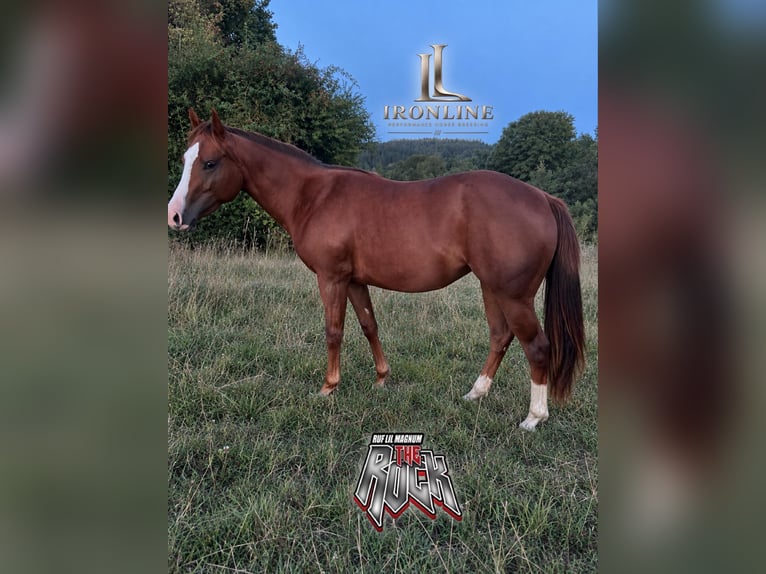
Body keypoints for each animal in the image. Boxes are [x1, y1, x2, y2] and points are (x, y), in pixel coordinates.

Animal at [168, 109, 585, 431]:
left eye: (209, 162)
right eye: (185, 160)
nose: (175, 216)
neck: (313, 196)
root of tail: (542, 197)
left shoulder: (331, 277)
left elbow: (334, 331)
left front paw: (328, 388)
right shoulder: (354, 281)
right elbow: (369, 325)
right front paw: (381, 379)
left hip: (513, 295)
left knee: (537, 347)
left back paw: (533, 418)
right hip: (491, 287)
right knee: (500, 336)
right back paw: (476, 393)